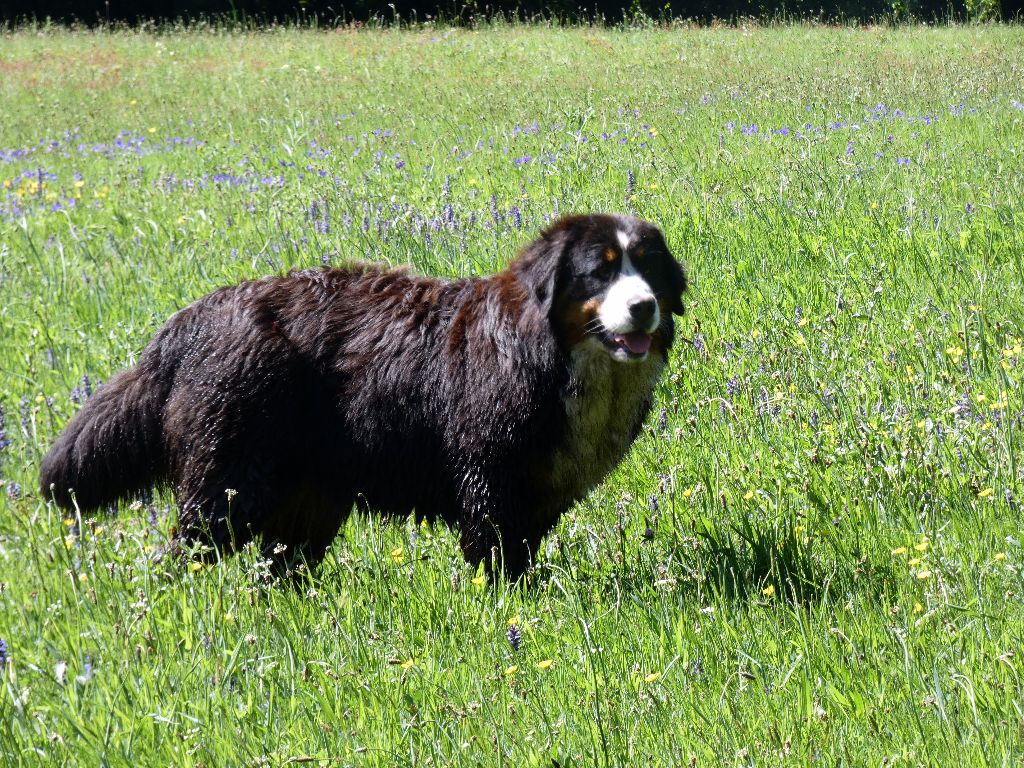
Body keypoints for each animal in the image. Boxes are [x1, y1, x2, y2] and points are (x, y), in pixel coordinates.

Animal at [37, 214, 688, 581]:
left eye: (648, 270)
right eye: (600, 272)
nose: (643, 307)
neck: (549, 354)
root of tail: (197, 315)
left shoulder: (541, 492)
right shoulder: (489, 481)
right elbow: (498, 563)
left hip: (308, 501)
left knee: (279, 569)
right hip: (225, 486)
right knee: (184, 557)